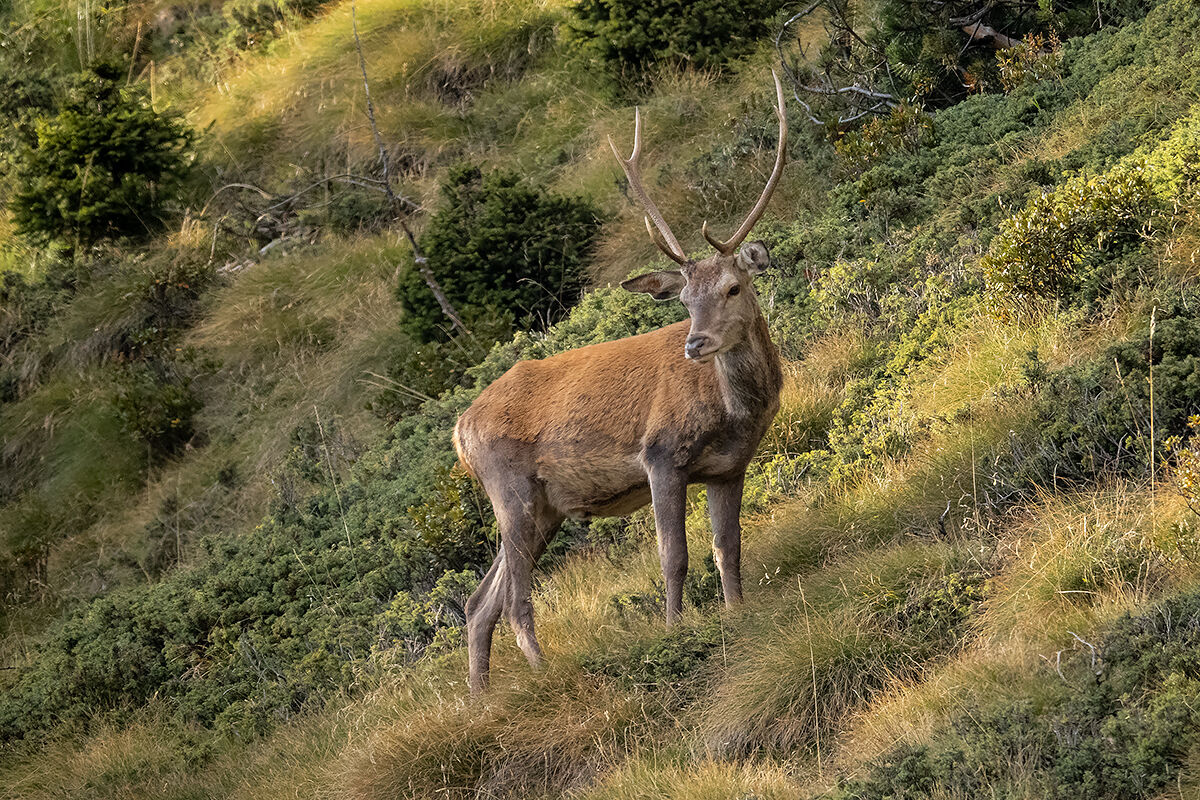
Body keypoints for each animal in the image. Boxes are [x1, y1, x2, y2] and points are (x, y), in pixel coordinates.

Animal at [454, 73, 788, 695]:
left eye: (732, 287)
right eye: (684, 300)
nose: (695, 345)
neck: (733, 413)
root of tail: (459, 432)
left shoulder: (729, 466)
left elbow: (727, 546)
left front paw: (738, 612)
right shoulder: (660, 455)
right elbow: (673, 555)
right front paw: (676, 630)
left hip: (545, 506)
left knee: (478, 601)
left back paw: (481, 699)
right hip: (509, 489)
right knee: (512, 600)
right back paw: (541, 673)